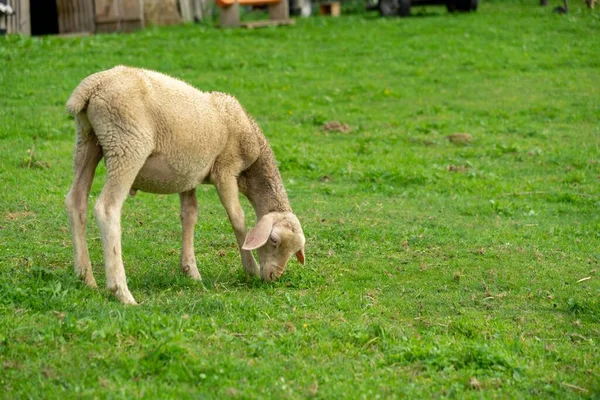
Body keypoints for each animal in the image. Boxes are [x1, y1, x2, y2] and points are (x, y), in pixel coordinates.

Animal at [65, 65, 304, 304]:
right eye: (273, 240)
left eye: (294, 251)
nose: (273, 277)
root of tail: (94, 84)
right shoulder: (225, 170)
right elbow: (237, 217)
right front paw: (251, 268)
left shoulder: (189, 175)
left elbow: (190, 215)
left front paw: (191, 271)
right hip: (127, 144)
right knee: (107, 208)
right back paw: (121, 292)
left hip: (87, 140)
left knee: (75, 201)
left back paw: (86, 278)